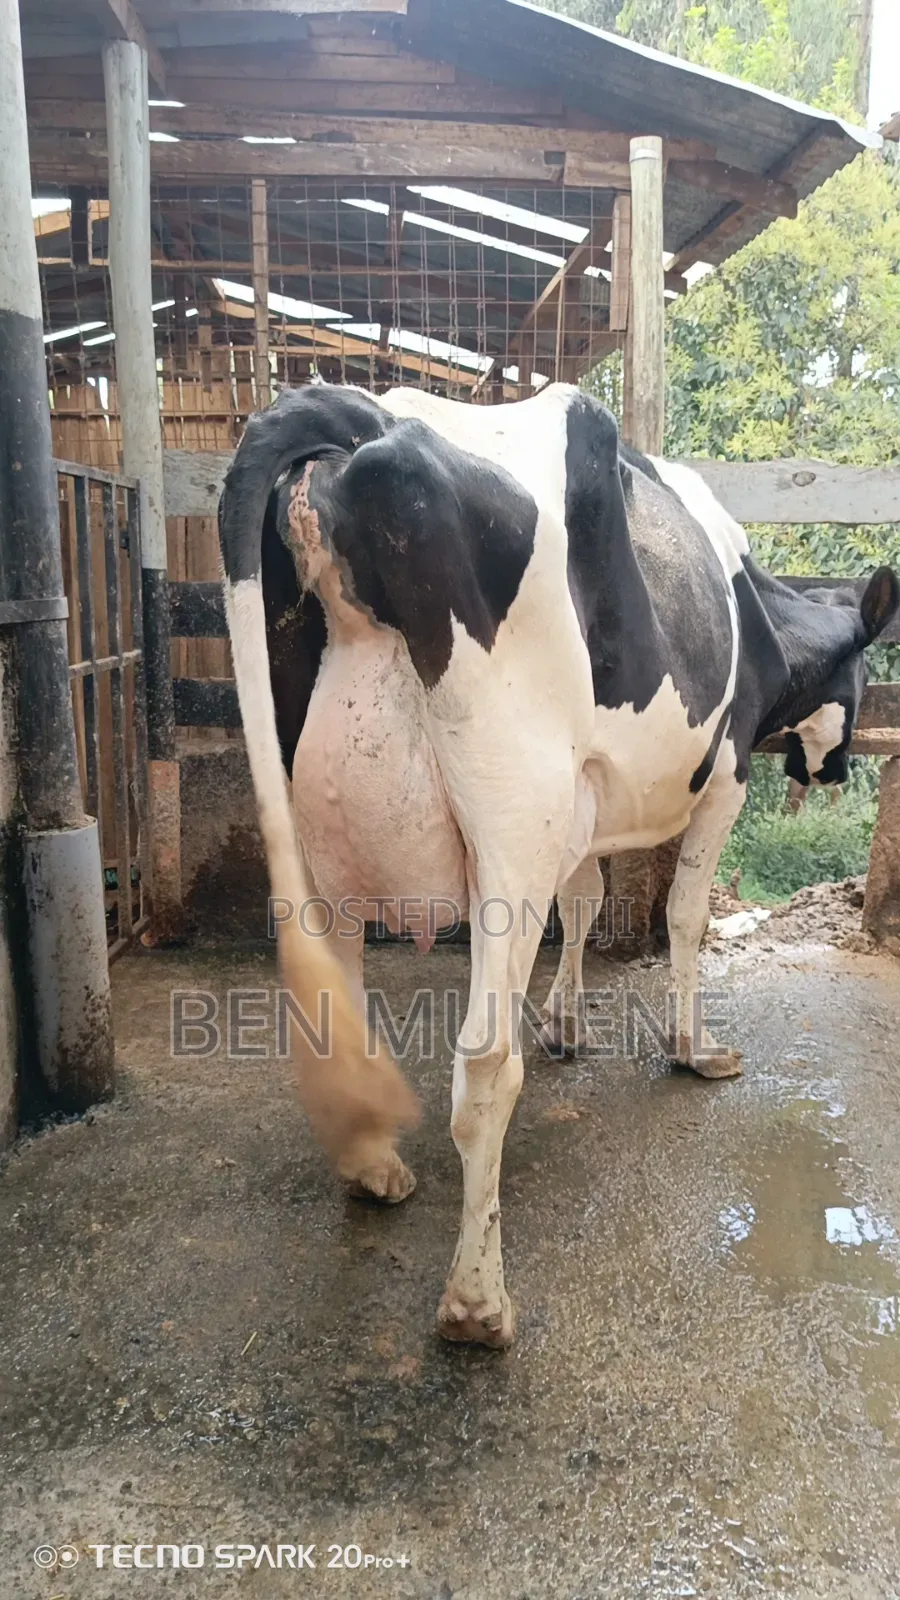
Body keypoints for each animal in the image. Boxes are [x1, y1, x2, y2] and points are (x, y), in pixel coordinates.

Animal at [219, 381, 897, 1348]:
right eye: (864, 671)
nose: (836, 768)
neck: (758, 609)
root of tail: (365, 412)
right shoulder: (722, 775)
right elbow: (685, 914)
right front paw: (693, 1049)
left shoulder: (588, 800)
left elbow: (584, 903)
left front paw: (567, 1022)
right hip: (516, 813)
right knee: (482, 1066)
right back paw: (478, 1303)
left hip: (328, 823)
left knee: (333, 1006)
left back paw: (374, 1169)